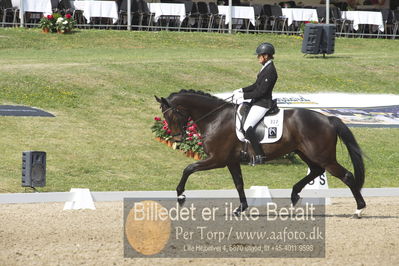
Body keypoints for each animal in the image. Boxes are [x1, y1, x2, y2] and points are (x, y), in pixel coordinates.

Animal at [155, 89, 368, 218]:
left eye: (171, 114)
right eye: (165, 116)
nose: (177, 138)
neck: (215, 117)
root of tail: (329, 119)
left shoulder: (217, 159)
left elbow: (188, 168)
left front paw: (180, 197)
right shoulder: (231, 161)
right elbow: (239, 183)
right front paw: (241, 208)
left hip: (323, 157)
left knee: (347, 176)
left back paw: (359, 209)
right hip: (305, 153)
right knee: (316, 171)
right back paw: (294, 196)